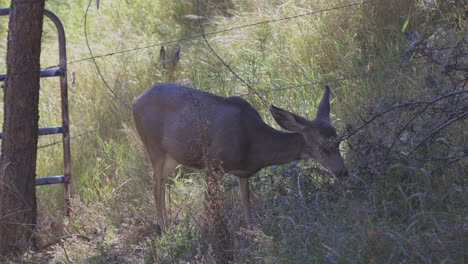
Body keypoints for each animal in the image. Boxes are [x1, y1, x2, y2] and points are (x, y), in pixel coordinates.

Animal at [132, 82, 348, 229]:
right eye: (324, 147)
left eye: (339, 142)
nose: (343, 172)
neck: (252, 146)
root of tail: (135, 101)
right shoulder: (213, 164)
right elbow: (208, 205)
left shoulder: (242, 173)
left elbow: (246, 203)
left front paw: (252, 232)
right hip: (154, 148)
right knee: (156, 185)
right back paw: (165, 229)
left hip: (172, 157)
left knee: (160, 183)